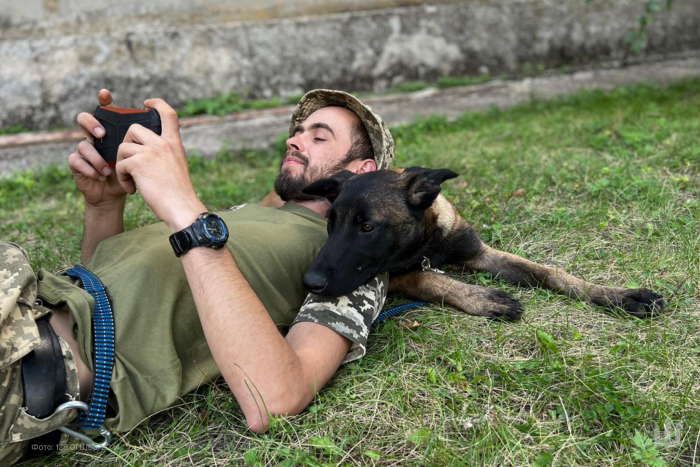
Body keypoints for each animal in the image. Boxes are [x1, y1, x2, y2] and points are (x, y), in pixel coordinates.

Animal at [300, 168, 668, 322]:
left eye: (367, 227)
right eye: (331, 224)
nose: (309, 282)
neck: (429, 245)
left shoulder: (481, 254)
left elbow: (549, 272)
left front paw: (614, 294)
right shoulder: (399, 274)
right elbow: (431, 278)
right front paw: (483, 298)